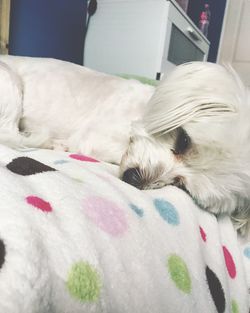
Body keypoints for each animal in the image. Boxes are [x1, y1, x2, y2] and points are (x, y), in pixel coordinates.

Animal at [0, 54, 250, 233]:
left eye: (183, 186)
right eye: (183, 140)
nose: (133, 179)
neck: (145, 113)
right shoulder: (94, 136)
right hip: (10, 80)